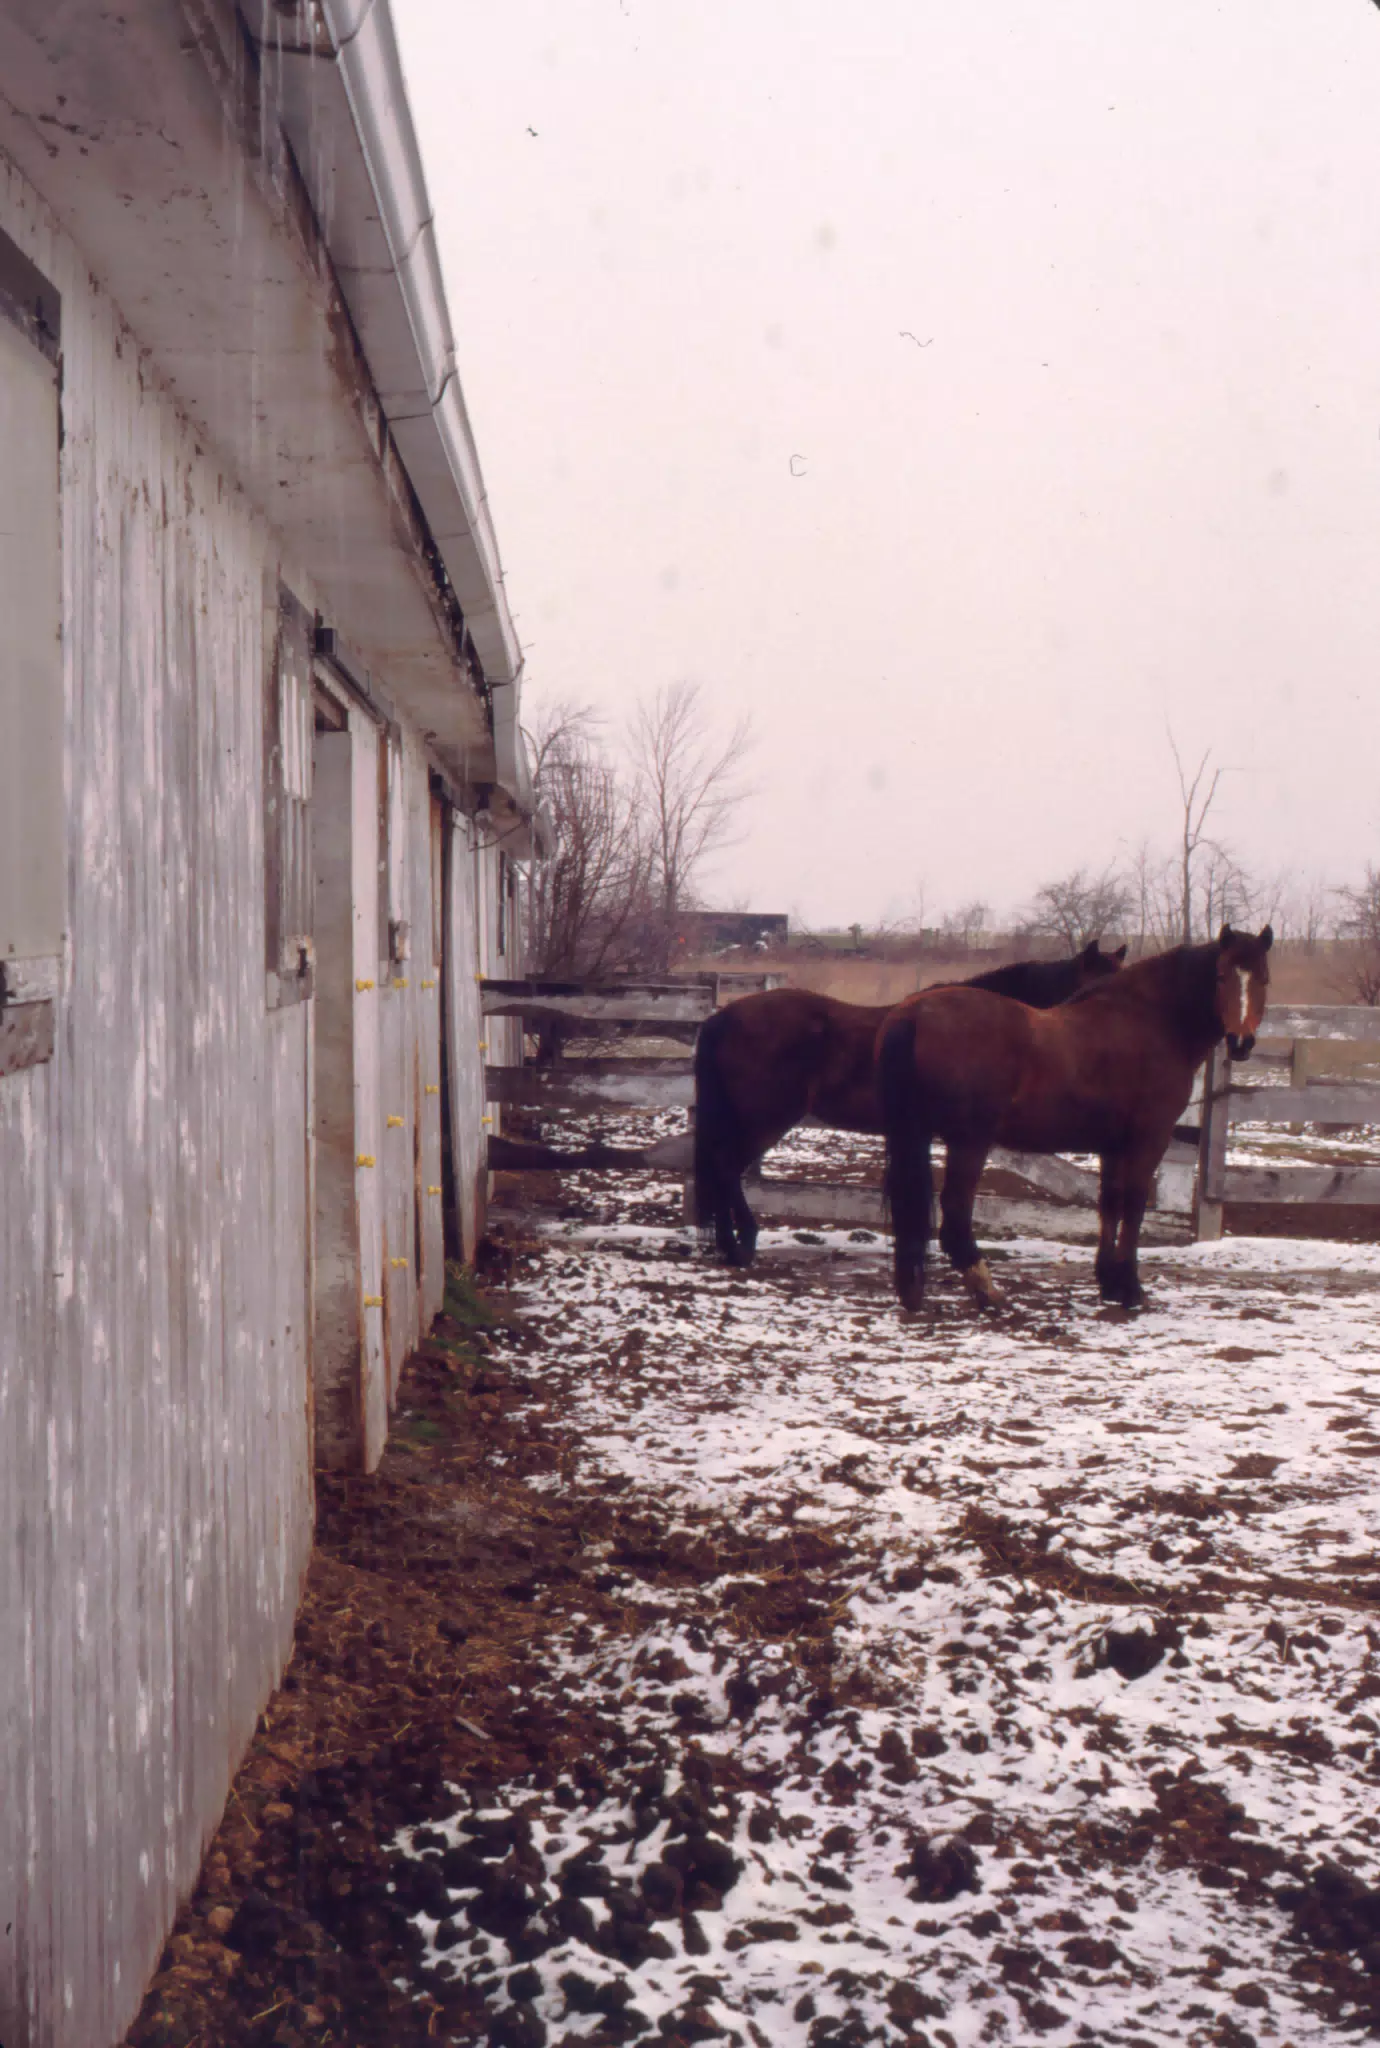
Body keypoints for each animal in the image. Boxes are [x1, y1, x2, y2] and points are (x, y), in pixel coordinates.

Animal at [877, 924, 1273, 1314]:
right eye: (1221, 976)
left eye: (1263, 978)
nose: (1240, 1042)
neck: (1151, 1022)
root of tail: (913, 1014)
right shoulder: (1149, 1139)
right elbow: (1133, 1206)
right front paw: (1131, 1288)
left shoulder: (1113, 1146)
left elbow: (1109, 1204)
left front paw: (1109, 1282)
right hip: (969, 1141)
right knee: (956, 1216)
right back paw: (990, 1293)